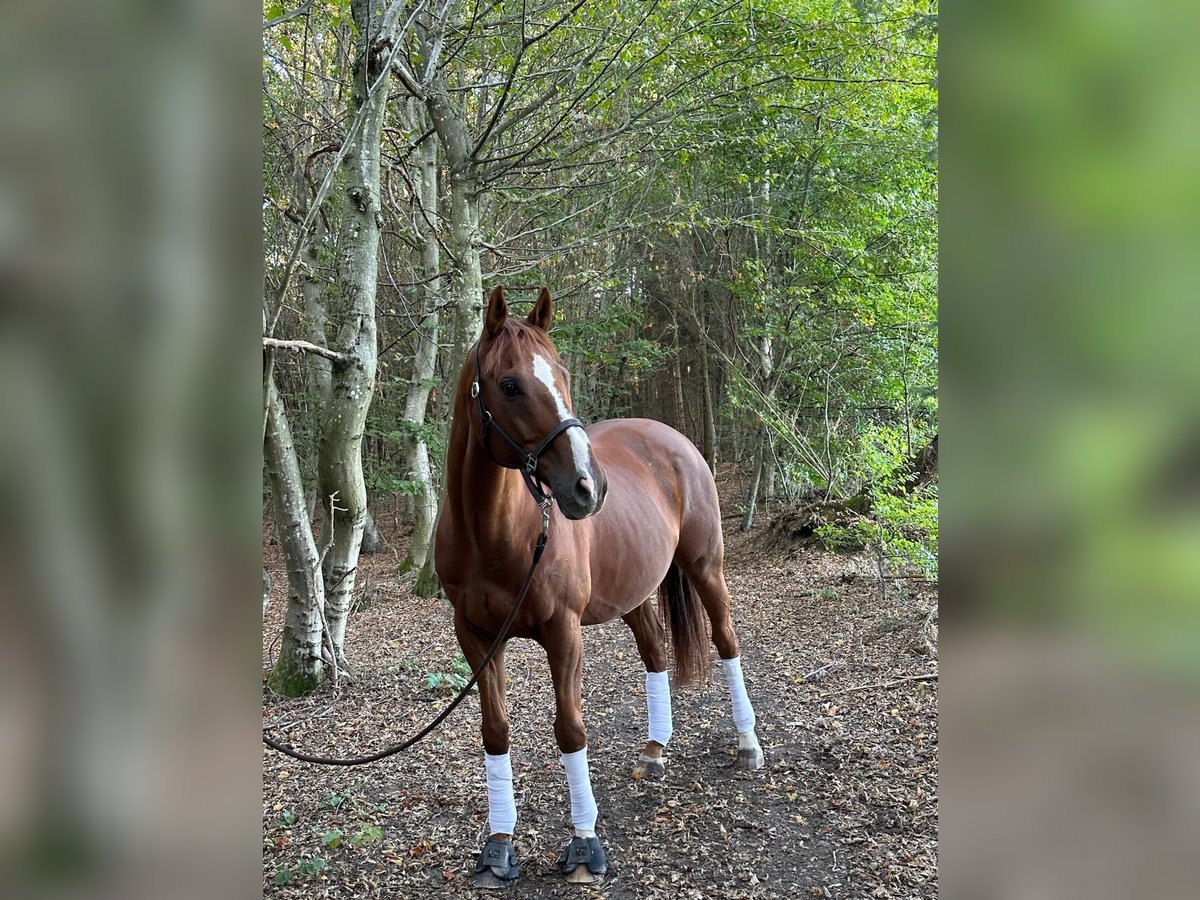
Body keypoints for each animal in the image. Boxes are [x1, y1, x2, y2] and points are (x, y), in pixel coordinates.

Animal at [436, 286, 763, 888]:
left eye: (563, 374)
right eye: (509, 384)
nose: (589, 487)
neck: (495, 535)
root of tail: (671, 437)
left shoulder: (563, 634)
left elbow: (570, 731)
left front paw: (585, 844)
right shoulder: (474, 638)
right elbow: (495, 732)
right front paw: (499, 846)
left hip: (706, 567)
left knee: (727, 641)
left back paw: (748, 742)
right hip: (631, 593)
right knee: (656, 652)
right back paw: (655, 749)